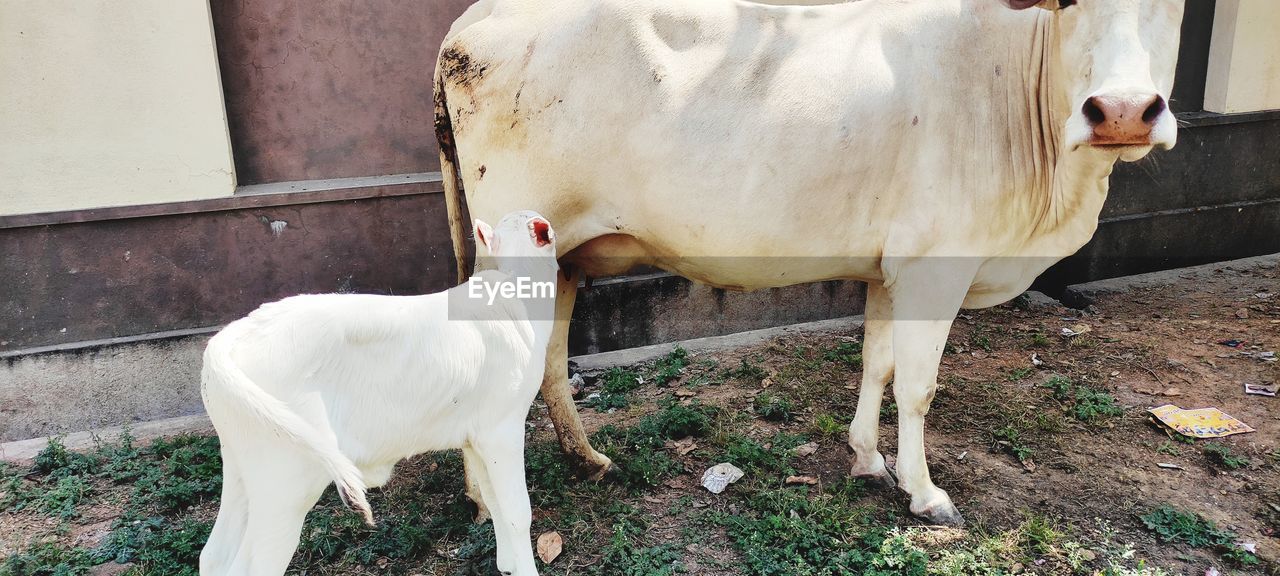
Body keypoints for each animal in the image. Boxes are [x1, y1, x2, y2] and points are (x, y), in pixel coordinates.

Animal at [197, 211, 558, 576]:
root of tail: (236, 333)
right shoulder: (502, 428)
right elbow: (517, 513)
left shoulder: (475, 437)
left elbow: (494, 502)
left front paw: (507, 565)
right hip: (287, 480)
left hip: (243, 465)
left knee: (213, 554)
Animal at [435, 0, 1182, 524]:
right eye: (1071, 4)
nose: (1122, 110)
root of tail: (478, 16)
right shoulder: (935, 266)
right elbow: (918, 386)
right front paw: (925, 492)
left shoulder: (892, 268)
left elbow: (877, 364)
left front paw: (868, 458)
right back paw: (486, 497)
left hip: (556, 258)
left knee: (549, 360)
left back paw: (587, 460)